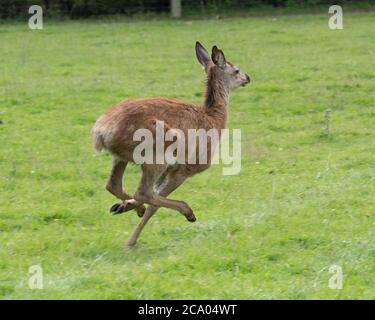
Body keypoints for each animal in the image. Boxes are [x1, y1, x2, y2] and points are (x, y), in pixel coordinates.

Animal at [91, 42, 251, 248]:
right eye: (236, 69)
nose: (248, 77)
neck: (215, 120)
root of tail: (100, 131)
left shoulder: (170, 171)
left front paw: (122, 207)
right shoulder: (185, 168)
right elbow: (154, 205)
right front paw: (130, 241)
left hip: (121, 157)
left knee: (114, 184)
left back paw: (130, 207)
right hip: (156, 152)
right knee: (143, 192)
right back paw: (186, 211)